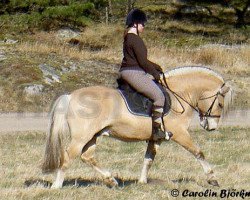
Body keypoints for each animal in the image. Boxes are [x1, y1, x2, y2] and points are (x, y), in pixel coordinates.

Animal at [41, 66, 232, 189]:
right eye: (220, 104)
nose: (211, 127)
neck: (178, 96)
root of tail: (71, 96)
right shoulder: (180, 134)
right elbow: (199, 153)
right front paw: (212, 179)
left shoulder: (156, 138)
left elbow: (148, 159)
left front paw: (142, 182)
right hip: (82, 136)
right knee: (68, 155)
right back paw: (57, 185)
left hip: (93, 136)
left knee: (87, 156)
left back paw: (111, 180)